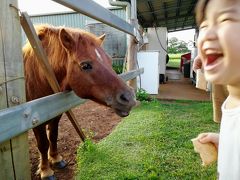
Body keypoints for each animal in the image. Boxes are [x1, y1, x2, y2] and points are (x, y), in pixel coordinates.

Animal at [23, 24, 136, 180]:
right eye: (85, 65)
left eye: (109, 61)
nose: (129, 98)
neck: (40, 75)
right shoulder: (37, 122)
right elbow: (43, 144)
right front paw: (46, 171)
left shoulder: (57, 114)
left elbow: (53, 136)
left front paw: (56, 159)